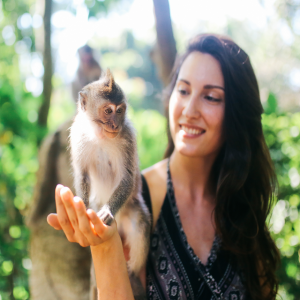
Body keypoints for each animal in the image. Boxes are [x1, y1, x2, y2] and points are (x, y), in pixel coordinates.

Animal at [69, 68, 150, 300]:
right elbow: (82, 174)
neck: (100, 136)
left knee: (140, 225)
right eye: (107, 111)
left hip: (130, 211)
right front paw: (82, 206)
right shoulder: (78, 134)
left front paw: (107, 211)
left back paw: (132, 270)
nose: (115, 124)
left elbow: (128, 178)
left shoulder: (127, 137)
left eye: (120, 111)